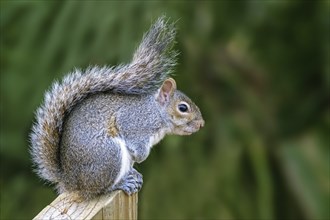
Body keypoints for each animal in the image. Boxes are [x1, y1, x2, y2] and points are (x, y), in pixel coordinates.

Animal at [30, 16, 204, 200]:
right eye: (183, 108)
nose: (201, 124)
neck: (156, 111)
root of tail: (71, 182)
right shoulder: (134, 122)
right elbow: (133, 138)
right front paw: (141, 157)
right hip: (109, 155)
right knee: (99, 190)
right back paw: (121, 183)